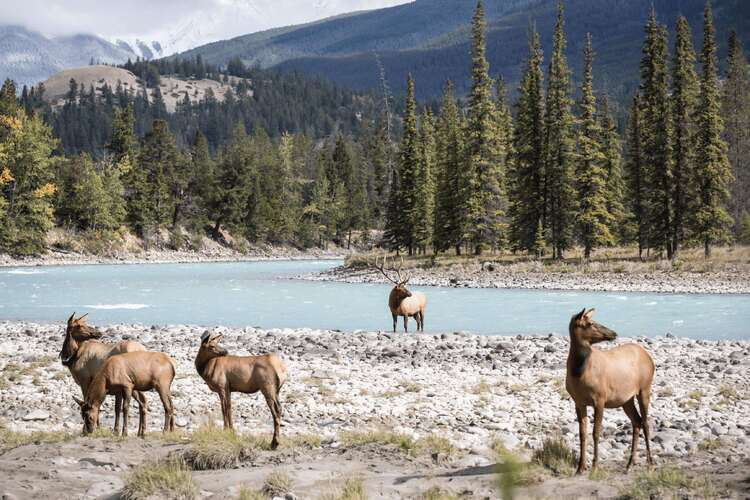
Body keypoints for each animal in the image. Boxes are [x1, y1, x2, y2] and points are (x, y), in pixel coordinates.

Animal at [568, 306, 656, 474]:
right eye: (590, 323)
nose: (613, 333)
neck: (578, 372)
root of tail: (650, 359)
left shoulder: (600, 399)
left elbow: (596, 432)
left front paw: (595, 466)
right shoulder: (578, 401)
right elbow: (582, 434)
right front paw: (580, 467)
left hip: (645, 388)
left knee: (646, 423)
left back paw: (650, 463)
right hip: (626, 399)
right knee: (637, 421)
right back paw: (630, 463)